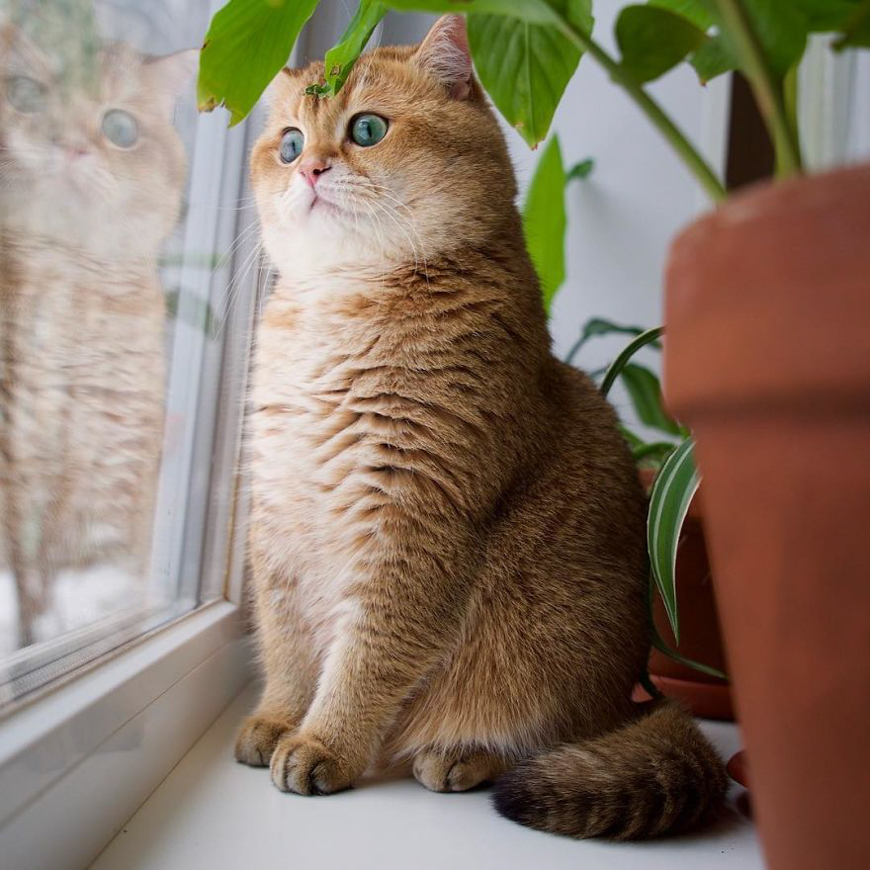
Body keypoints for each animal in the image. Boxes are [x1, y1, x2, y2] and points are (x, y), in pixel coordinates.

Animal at [238, 17, 728, 840]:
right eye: (287, 143)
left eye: (366, 130)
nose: (308, 169)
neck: (340, 305)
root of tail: (632, 691)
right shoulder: (280, 512)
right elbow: (288, 645)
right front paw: (279, 719)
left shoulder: (414, 520)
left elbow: (364, 657)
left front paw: (325, 742)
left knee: (553, 733)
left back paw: (464, 754)